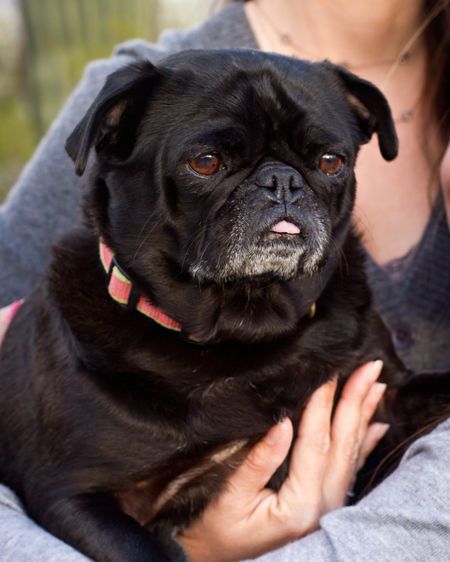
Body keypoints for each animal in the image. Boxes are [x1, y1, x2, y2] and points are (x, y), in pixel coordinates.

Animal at [0, 49, 428, 560]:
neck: (243, 331)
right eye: (205, 163)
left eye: (330, 162)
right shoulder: (71, 495)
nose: (282, 179)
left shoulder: (392, 394)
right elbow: (143, 551)